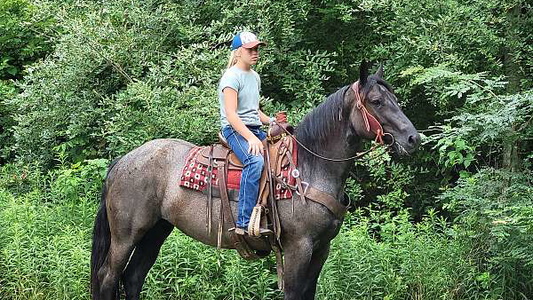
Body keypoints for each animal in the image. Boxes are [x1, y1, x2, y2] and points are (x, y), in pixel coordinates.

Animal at [90, 61, 420, 300]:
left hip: (157, 230)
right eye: (376, 101)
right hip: (126, 234)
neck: (312, 168)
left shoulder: (321, 249)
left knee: (133, 277)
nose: (413, 139)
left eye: (395, 99)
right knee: (108, 277)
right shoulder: (298, 248)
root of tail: (123, 160)